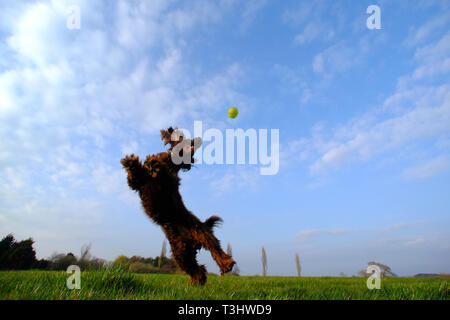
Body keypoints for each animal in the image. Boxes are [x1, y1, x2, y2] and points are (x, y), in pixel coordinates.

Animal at [121, 127, 237, 284]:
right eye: (188, 139)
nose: (200, 139)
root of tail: (192, 241)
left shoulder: (168, 182)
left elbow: (159, 171)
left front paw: (153, 164)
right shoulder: (138, 183)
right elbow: (135, 174)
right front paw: (132, 162)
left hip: (201, 234)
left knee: (215, 249)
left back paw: (226, 263)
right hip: (181, 253)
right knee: (197, 270)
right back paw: (198, 281)